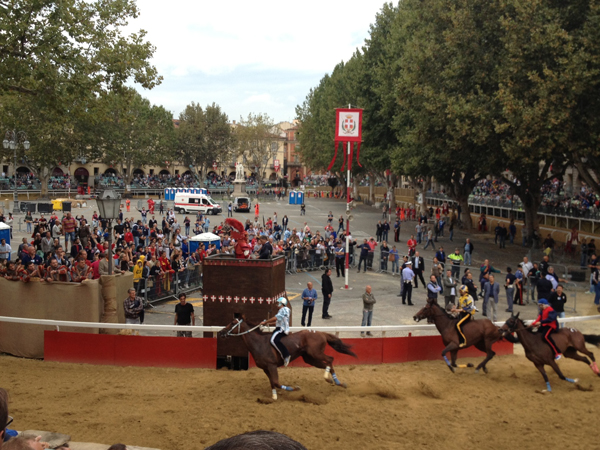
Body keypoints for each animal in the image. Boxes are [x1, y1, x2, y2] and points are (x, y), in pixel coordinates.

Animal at [219, 318, 356, 400]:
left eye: (232, 323)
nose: (220, 332)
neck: (259, 343)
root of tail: (321, 333)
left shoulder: (272, 366)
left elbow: (276, 382)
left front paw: (295, 388)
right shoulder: (265, 368)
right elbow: (272, 382)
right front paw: (274, 397)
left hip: (316, 353)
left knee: (330, 359)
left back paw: (331, 379)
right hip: (309, 358)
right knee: (326, 363)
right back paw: (337, 382)